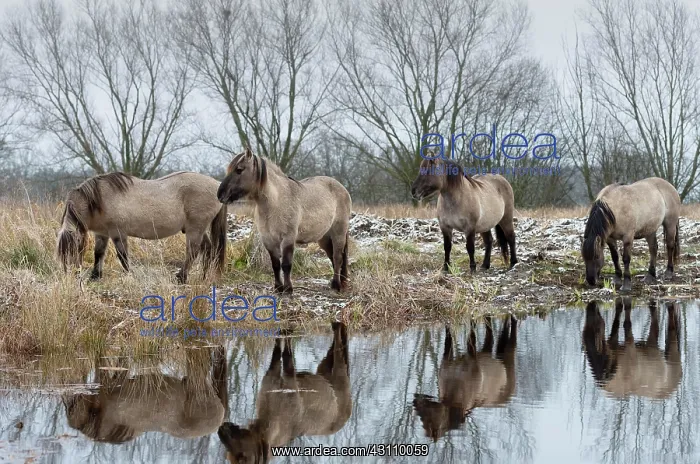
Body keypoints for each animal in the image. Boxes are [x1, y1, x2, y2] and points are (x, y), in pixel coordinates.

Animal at [56, 171, 228, 284]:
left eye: (73, 248)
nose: (70, 275)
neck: (99, 200)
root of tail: (216, 185)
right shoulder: (102, 234)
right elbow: (98, 254)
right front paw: (95, 276)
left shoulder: (118, 233)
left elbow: (123, 256)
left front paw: (129, 275)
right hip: (198, 230)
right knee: (208, 249)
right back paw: (204, 277)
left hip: (195, 229)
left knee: (193, 251)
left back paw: (181, 277)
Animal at [216, 147, 352, 293]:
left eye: (239, 169)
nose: (220, 195)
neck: (276, 202)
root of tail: (342, 188)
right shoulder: (269, 240)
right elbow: (275, 264)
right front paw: (278, 288)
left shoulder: (288, 238)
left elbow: (286, 264)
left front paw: (288, 288)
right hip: (324, 238)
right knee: (332, 256)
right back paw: (336, 282)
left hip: (338, 233)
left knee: (338, 257)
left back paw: (337, 285)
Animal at [217, 322, 351, 463]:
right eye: (229, 455)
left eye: (241, 456)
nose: (221, 430)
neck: (270, 419)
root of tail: (348, 415)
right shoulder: (271, 378)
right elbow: (277, 350)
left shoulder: (289, 380)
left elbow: (287, 353)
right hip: (324, 367)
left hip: (339, 373)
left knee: (339, 344)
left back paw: (337, 326)